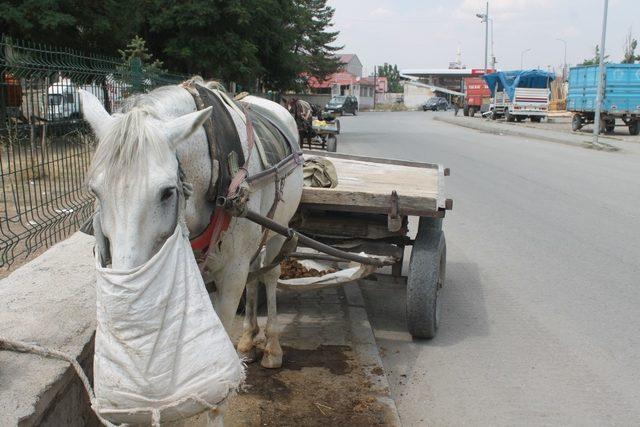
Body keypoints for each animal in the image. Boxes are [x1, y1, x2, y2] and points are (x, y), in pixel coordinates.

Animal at [81, 83, 304, 374]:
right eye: (95, 191)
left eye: (167, 192)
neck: (216, 168)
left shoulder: (232, 273)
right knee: (255, 273)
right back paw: (247, 339)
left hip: (280, 227)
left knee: (269, 274)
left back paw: (272, 346)